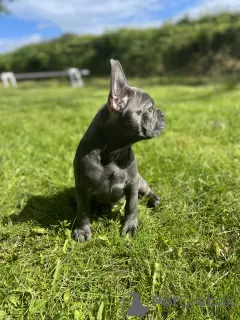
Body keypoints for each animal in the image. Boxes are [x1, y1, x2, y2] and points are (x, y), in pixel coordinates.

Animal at [72, 59, 164, 240]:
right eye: (150, 109)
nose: (162, 114)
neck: (113, 153)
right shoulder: (81, 188)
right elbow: (83, 211)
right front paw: (82, 230)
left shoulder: (132, 183)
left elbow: (131, 206)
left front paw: (130, 227)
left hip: (141, 182)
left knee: (147, 191)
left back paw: (154, 199)